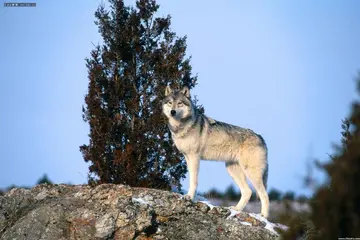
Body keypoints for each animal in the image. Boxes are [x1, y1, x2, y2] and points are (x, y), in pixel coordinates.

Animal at [162, 86, 268, 218]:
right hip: (232, 170)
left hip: (251, 173)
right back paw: (236, 209)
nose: (173, 112)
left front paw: (190, 197)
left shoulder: (194, 157)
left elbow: (194, 180)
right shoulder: (187, 157)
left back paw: (263, 216)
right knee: (247, 192)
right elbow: (191, 178)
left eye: (180, 103)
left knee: (264, 195)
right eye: (170, 103)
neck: (181, 127)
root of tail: (260, 137)